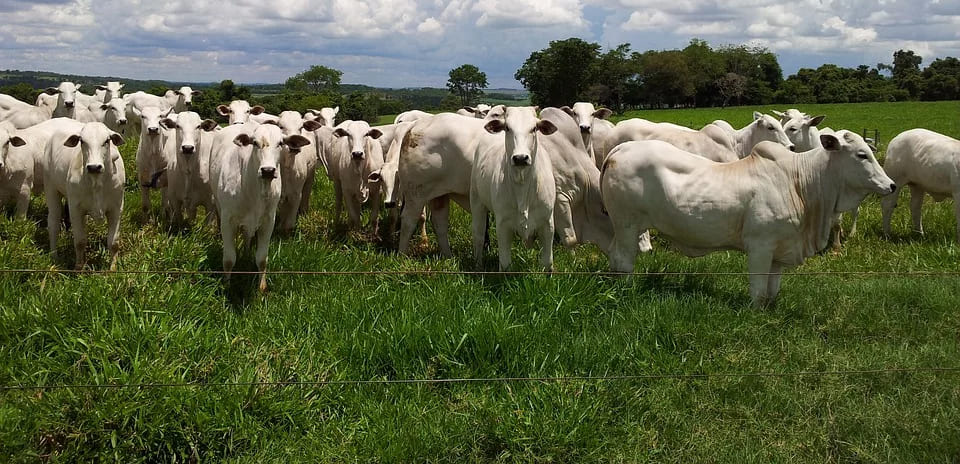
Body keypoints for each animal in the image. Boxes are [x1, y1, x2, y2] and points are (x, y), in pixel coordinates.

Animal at [44, 121, 125, 270]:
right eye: (82, 141)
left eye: (106, 140)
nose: (94, 167)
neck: (96, 182)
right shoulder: (75, 209)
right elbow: (80, 241)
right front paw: (79, 268)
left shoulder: (117, 208)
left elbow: (113, 242)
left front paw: (113, 269)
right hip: (51, 189)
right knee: (53, 223)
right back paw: (54, 257)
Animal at [208, 121, 310, 292]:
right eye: (255, 143)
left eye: (280, 143)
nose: (268, 170)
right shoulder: (227, 220)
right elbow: (229, 258)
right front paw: (226, 285)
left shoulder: (268, 221)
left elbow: (262, 259)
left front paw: (262, 287)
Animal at [470, 106, 560, 270]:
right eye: (507, 128)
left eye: (534, 128)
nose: (520, 158)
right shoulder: (503, 226)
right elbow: (505, 264)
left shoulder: (547, 224)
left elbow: (547, 262)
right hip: (476, 201)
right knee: (478, 237)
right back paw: (478, 266)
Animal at [604, 130, 896, 306]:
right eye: (862, 155)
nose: (891, 185)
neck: (801, 182)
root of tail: (619, 150)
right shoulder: (760, 246)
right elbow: (757, 290)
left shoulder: (781, 249)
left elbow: (772, 289)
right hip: (627, 224)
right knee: (623, 259)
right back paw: (626, 291)